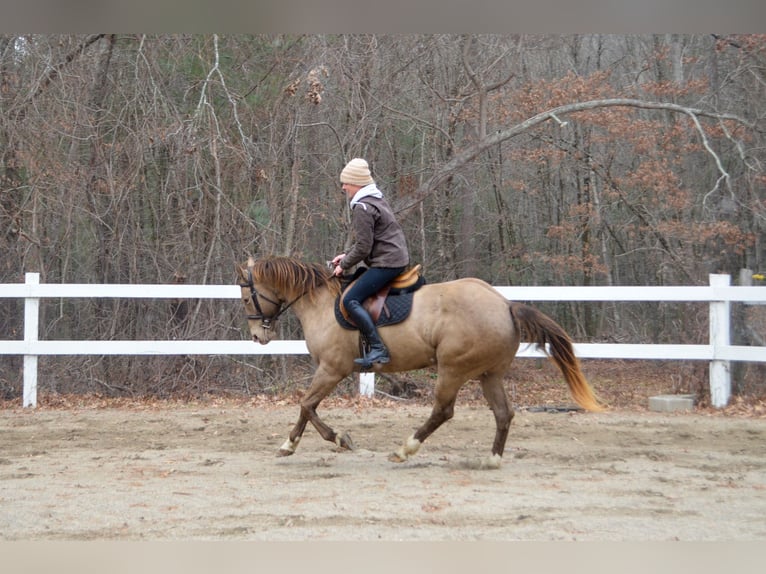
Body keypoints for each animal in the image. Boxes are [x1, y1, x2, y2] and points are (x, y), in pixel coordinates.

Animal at [236, 256, 604, 468]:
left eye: (245, 296)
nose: (257, 336)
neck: (321, 303)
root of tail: (505, 305)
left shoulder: (332, 369)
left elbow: (306, 405)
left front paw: (330, 440)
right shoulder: (330, 371)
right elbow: (307, 407)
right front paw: (296, 444)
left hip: (452, 369)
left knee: (443, 411)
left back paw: (405, 450)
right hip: (489, 373)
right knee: (503, 413)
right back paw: (492, 459)